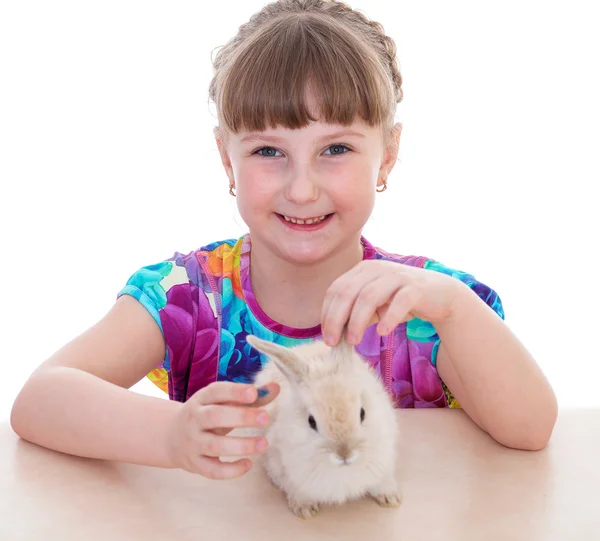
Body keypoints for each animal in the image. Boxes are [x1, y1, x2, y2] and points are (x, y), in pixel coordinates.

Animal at [246, 334, 400, 520]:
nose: (345, 455)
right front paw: (305, 509)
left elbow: (382, 483)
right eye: (311, 421)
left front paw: (391, 498)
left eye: (362, 413)